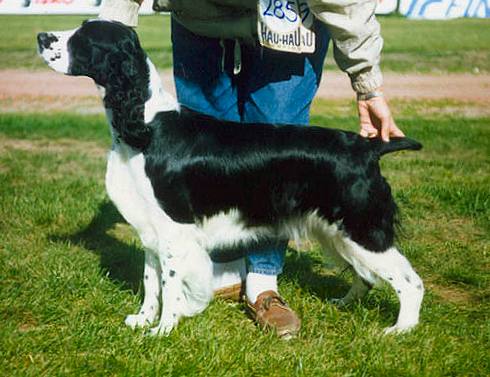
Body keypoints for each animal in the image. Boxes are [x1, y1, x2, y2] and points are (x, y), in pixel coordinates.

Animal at [36, 19, 424, 334]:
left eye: (84, 38)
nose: (41, 36)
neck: (145, 125)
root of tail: (368, 148)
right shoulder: (151, 227)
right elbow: (150, 281)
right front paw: (143, 320)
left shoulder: (175, 229)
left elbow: (170, 284)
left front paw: (162, 331)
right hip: (336, 231)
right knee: (367, 276)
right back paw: (343, 304)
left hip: (363, 228)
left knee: (410, 281)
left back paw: (399, 330)